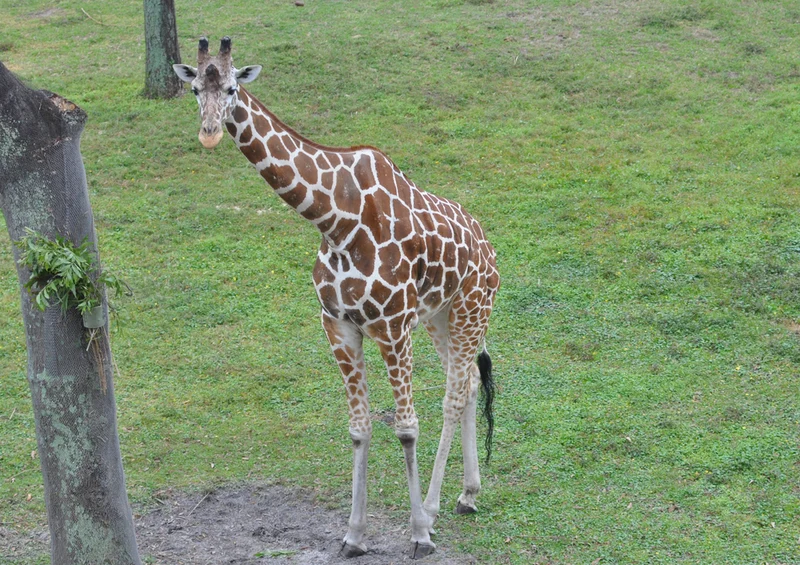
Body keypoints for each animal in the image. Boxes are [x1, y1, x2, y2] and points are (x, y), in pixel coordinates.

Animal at [173, 37, 500, 559]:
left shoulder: (392, 325)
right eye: (193, 89)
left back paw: (432, 511)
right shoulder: (339, 324)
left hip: (471, 307)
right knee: (468, 382)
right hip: (440, 316)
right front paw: (353, 535)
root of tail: (488, 247)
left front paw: (418, 535)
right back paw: (467, 495)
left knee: (453, 395)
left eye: (231, 88)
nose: (208, 134)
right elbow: (359, 429)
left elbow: (406, 427)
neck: (336, 220)